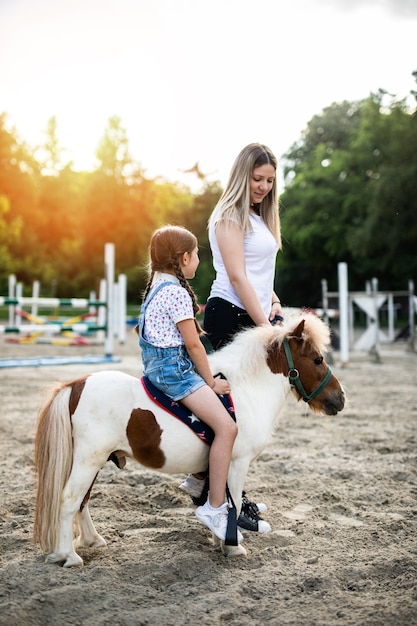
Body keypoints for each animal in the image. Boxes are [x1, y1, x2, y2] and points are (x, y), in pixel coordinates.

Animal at [33, 312, 344, 564]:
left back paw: (91, 541)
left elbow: (223, 499)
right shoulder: (237, 461)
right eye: (317, 359)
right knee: (69, 500)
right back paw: (68, 556)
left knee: (82, 501)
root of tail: (76, 384)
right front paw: (231, 546)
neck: (243, 389)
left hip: (93, 462)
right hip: (88, 461)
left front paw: (221, 538)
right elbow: (233, 501)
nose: (340, 398)